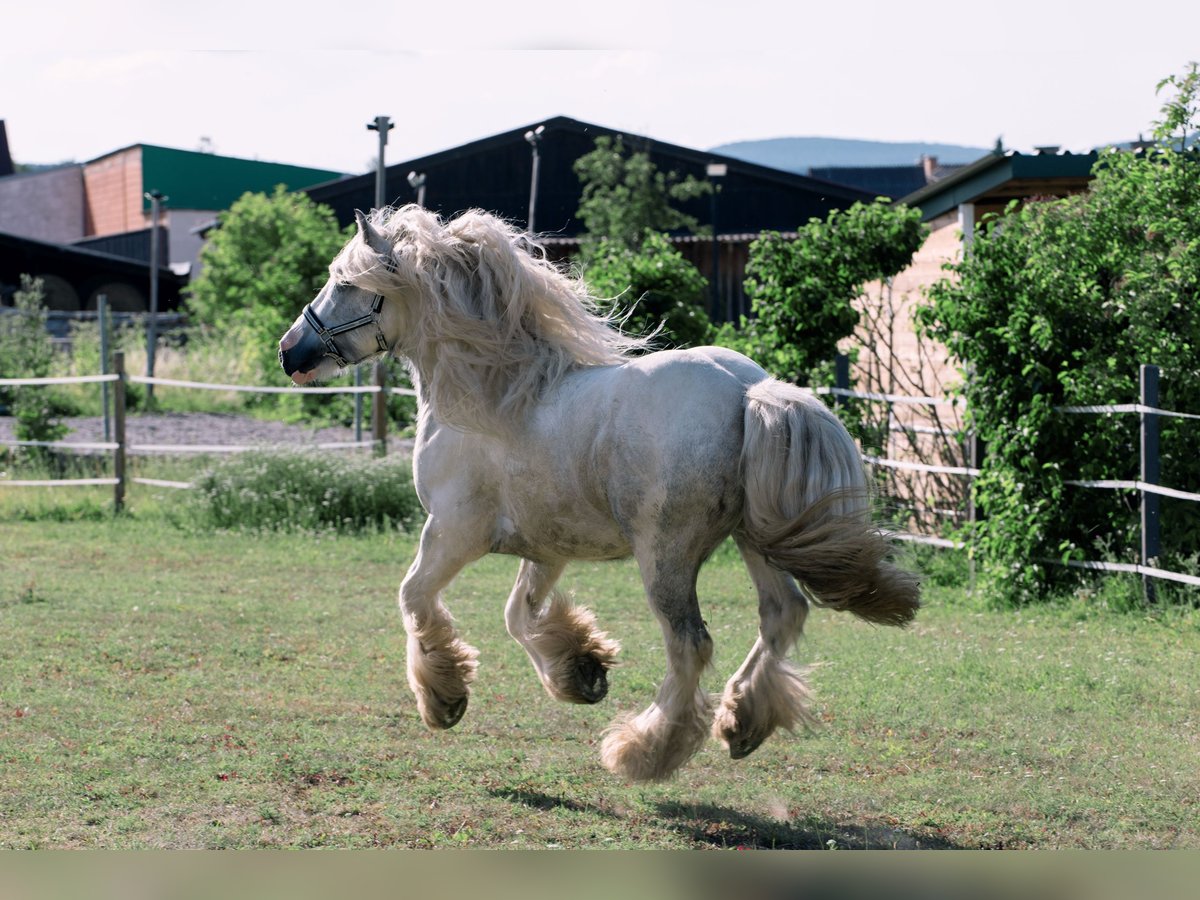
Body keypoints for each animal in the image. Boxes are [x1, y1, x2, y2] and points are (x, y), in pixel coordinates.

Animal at [278, 204, 916, 782]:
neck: (492, 394)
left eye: (345, 284)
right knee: (781, 614)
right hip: (753, 537)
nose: (290, 352)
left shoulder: (453, 533)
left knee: (691, 645)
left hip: (665, 553)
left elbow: (414, 598)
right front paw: (582, 673)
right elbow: (517, 615)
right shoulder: (545, 547)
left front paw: (445, 700)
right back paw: (740, 723)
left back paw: (643, 752)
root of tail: (750, 391)